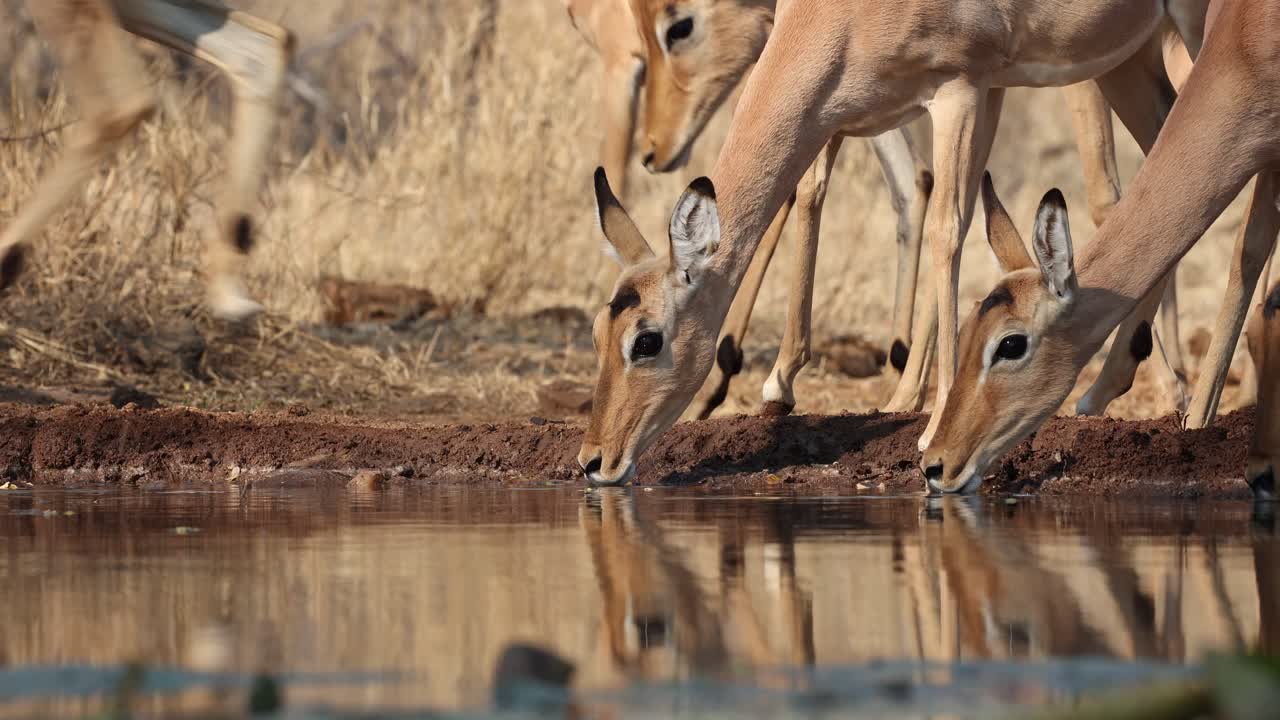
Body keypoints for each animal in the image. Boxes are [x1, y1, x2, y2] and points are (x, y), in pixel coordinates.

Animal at [577, 0, 1214, 486]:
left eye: (647, 340)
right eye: (597, 334)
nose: (592, 461)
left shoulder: (960, 89)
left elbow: (945, 228)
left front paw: (930, 425)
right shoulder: (964, 92)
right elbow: (842, 193)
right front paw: (872, 398)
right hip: (1129, 60)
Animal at [922, 0, 1280, 496]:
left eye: (1011, 344)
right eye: (966, 330)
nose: (935, 466)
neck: (1249, 39)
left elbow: (1250, 251)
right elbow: (1251, 249)